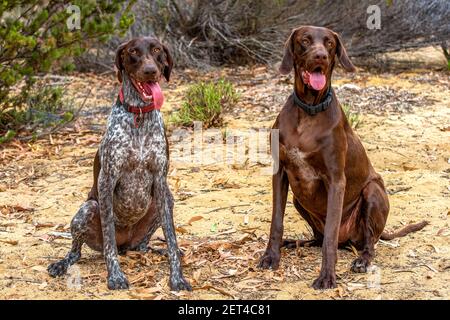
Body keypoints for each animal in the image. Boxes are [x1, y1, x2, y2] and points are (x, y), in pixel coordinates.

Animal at [48, 36, 192, 292]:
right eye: (133, 52)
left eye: (157, 50)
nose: (150, 71)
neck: (139, 116)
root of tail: (127, 243)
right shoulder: (107, 180)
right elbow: (109, 241)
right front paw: (115, 276)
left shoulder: (160, 181)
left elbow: (172, 238)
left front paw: (177, 277)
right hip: (87, 209)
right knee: (78, 252)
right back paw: (62, 264)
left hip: (165, 202)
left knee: (142, 246)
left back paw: (157, 250)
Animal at [258, 26, 428, 288]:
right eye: (305, 40)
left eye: (329, 43)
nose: (320, 56)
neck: (309, 111)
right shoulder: (280, 173)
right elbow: (276, 221)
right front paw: (271, 256)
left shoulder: (336, 180)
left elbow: (330, 234)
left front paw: (327, 276)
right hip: (298, 199)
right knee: (319, 238)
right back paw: (295, 242)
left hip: (373, 192)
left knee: (367, 243)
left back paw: (362, 260)